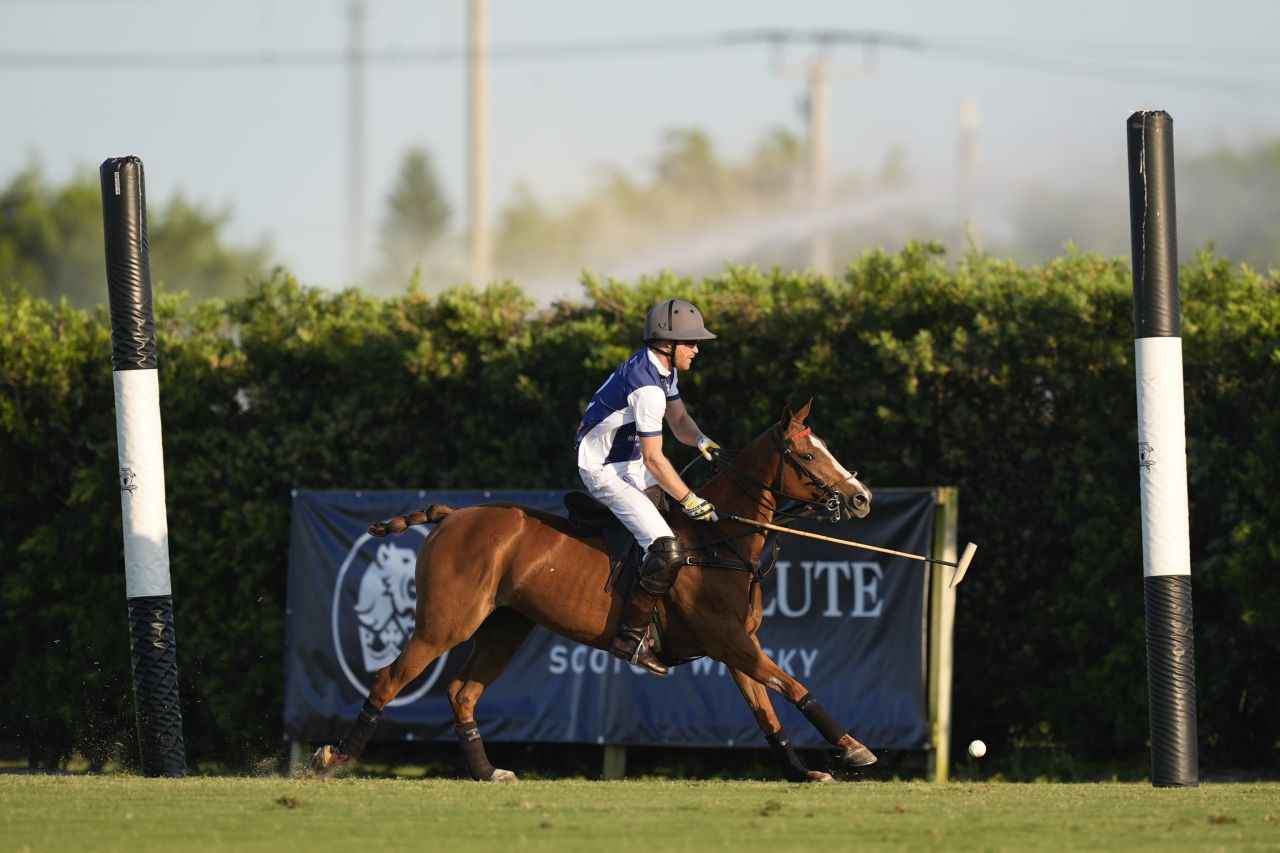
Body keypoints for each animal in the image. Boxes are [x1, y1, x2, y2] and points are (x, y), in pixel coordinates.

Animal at [311, 402, 875, 778]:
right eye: (807, 455)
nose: (862, 498)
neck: (718, 541)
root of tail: (450, 514)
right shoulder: (729, 640)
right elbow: (794, 687)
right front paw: (854, 748)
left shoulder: (737, 646)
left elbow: (768, 711)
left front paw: (801, 771)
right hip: (444, 622)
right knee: (390, 678)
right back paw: (335, 758)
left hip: (505, 626)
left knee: (461, 692)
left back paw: (487, 771)